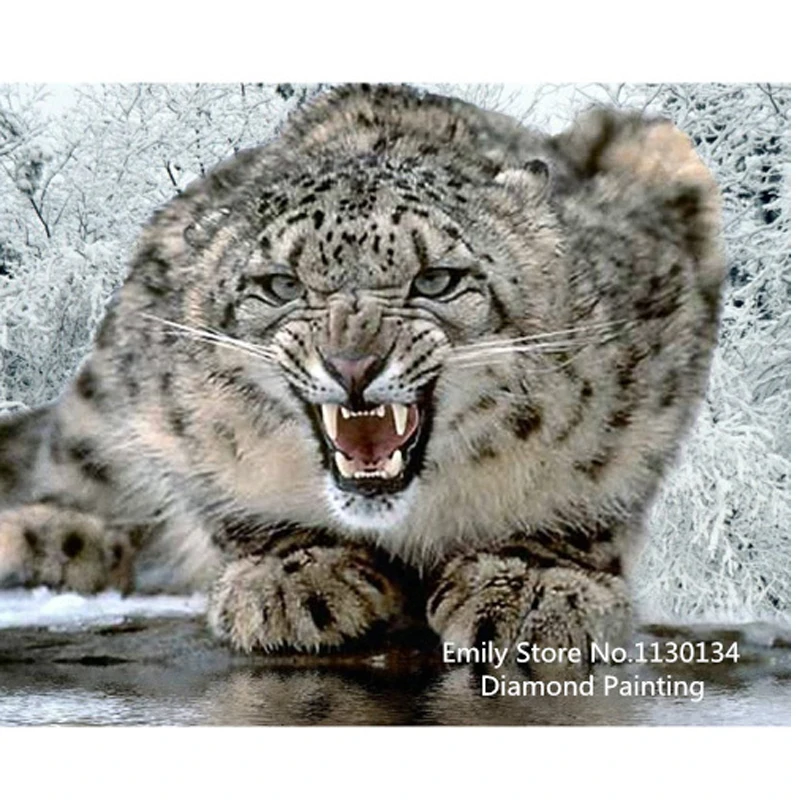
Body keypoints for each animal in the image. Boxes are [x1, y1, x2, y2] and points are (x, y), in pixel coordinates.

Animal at [0, 84, 724, 657]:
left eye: (436, 279)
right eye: (281, 285)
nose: (352, 363)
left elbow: (601, 482)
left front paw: (529, 582)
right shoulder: (169, 403)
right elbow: (222, 495)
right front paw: (296, 576)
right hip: (98, 403)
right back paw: (49, 536)